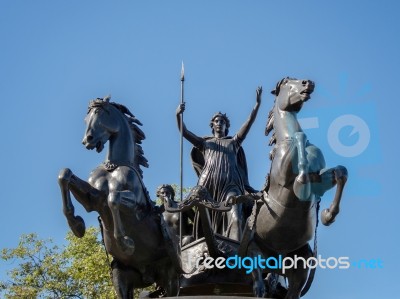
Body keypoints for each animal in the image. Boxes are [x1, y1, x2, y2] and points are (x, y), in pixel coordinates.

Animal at [58, 96, 180, 299]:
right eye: (85, 119)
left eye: (98, 113)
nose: (87, 140)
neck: (113, 167)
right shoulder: (93, 200)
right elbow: (65, 175)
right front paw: (77, 225)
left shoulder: (134, 204)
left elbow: (113, 199)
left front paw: (125, 243)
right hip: (121, 277)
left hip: (169, 275)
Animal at [242, 78, 348, 298]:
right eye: (287, 84)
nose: (309, 83)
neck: (286, 140)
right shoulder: (286, 183)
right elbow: (301, 167)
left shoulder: (320, 179)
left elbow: (341, 172)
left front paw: (328, 215)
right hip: (253, 252)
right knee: (256, 275)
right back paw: (259, 288)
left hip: (299, 264)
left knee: (293, 291)